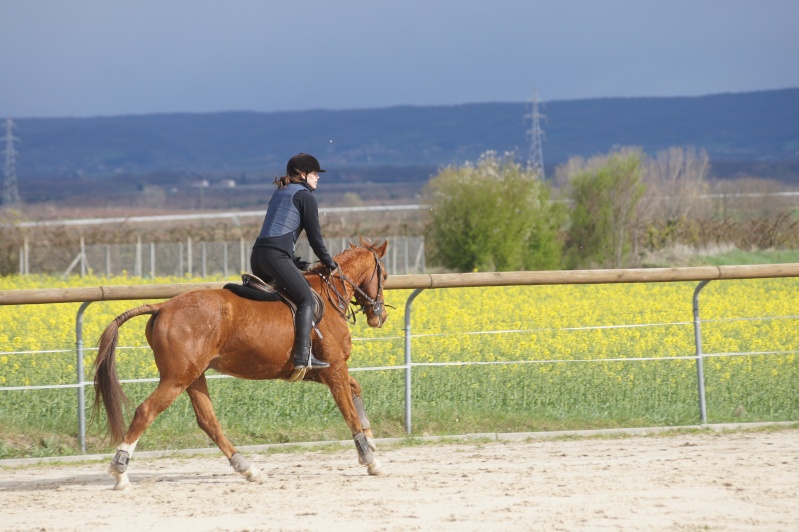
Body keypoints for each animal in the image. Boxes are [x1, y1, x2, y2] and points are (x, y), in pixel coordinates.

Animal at [93, 239, 390, 488]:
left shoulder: (323, 372)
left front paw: (371, 441)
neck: (329, 296)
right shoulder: (335, 368)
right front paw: (370, 459)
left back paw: (248, 469)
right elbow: (349, 411)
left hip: (193, 376)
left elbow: (356, 391)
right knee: (146, 412)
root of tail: (162, 307)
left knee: (208, 421)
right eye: (384, 276)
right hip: (176, 379)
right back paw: (120, 472)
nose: (380, 316)